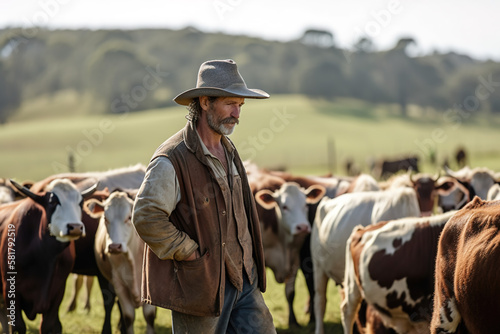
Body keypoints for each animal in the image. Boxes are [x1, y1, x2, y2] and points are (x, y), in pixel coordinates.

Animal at [0, 179, 96, 332]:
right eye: (53, 202)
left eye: (80, 203)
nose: (75, 227)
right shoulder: (10, 291)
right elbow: (18, 326)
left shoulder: (56, 295)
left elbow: (48, 325)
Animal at [86, 190, 156, 334]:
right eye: (105, 218)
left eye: (129, 217)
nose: (114, 246)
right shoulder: (119, 284)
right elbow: (128, 316)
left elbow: (149, 315)